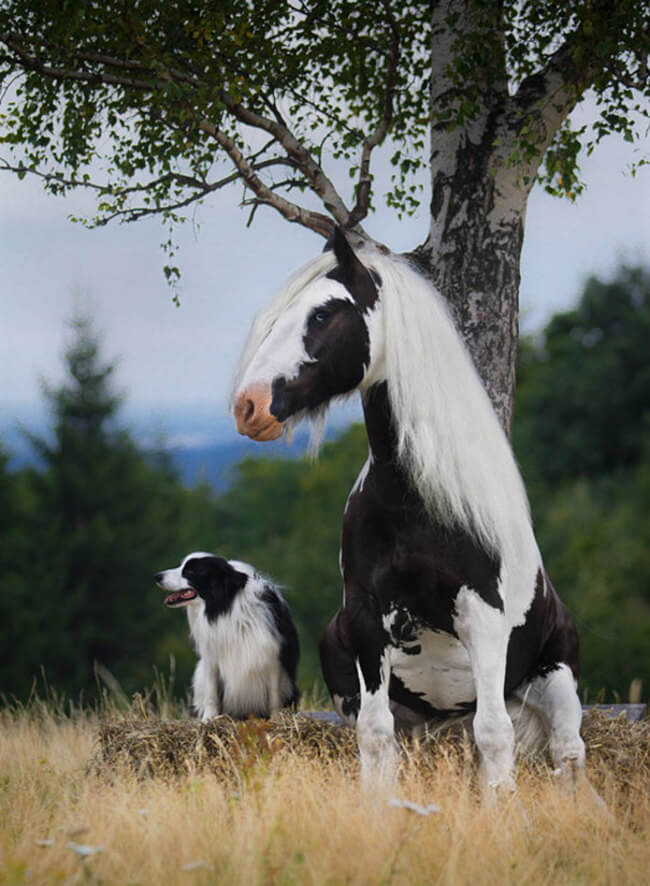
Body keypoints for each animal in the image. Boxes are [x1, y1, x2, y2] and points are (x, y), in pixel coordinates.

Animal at [156, 556, 300, 720]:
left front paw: (276, 719)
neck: (225, 607)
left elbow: (275, 696)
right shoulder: (211, 658)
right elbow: (211, 693)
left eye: (190, 571)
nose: (157, 576)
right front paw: (208, 719)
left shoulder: (272, 657)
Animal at [230, 229, 584, 796]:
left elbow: (495, 734)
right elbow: (376, 736)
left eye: (322, 314)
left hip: (558, 680)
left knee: (568, 753)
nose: (249, 406)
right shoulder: (365, 618)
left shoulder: (483, 617)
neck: (415, 502)